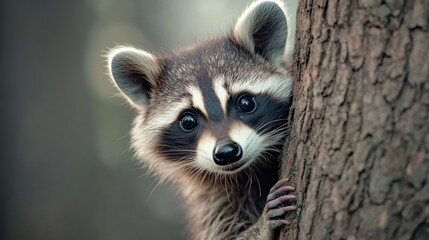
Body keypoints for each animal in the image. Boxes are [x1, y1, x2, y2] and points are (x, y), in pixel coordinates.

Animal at [105, 0, 296, 240]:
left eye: (245, 103)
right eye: (188, 121)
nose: (227, 152)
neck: (248, 171)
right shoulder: (210, 200)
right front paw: (261, 225)